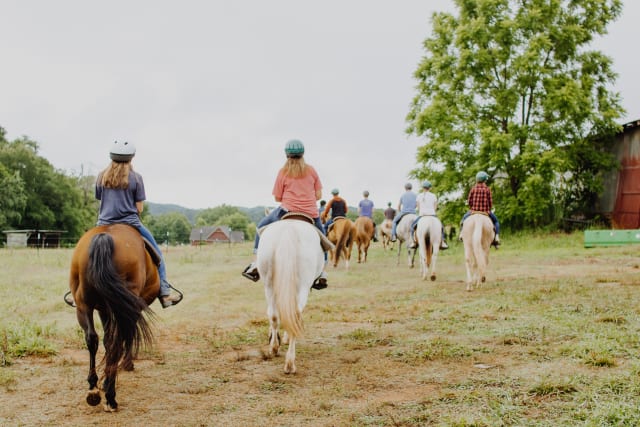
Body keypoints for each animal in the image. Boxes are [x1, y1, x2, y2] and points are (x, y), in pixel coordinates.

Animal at [67, 226, 160, 412]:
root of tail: (104, 236)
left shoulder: (104, 310)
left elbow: (106, 340)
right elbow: (125, 338)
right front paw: (127, 364)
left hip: (83, 306)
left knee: (92, 339)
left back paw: (93, 390)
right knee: (118, 342)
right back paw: (111, 397)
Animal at [255, 219, 324, 372]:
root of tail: (289, 228)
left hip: (269, 285)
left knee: (274, 315)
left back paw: (275, 348)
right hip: (302, 286)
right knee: (294, 315)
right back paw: (290, 362)